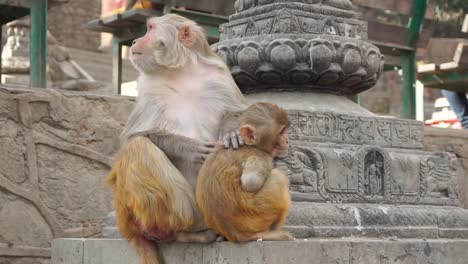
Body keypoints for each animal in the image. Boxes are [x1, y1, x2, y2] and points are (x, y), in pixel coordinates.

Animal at [104, 14, 247, 264]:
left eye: (150, 29)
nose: (135, 41)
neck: (182, 72)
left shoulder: (220, 77)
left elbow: (239, 113)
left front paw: (230, 131)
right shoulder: (149, 88)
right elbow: (133, 138)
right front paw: (187, 147)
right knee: (137, 148)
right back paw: (172, 233)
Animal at [197, 102, 292, 242]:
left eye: (285, 130)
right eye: (281, 132)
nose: (287, 140)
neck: (251, 145)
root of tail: (237, 234)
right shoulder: (261, 156)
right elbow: (250, 182)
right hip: (258, 215)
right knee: (279, 178)